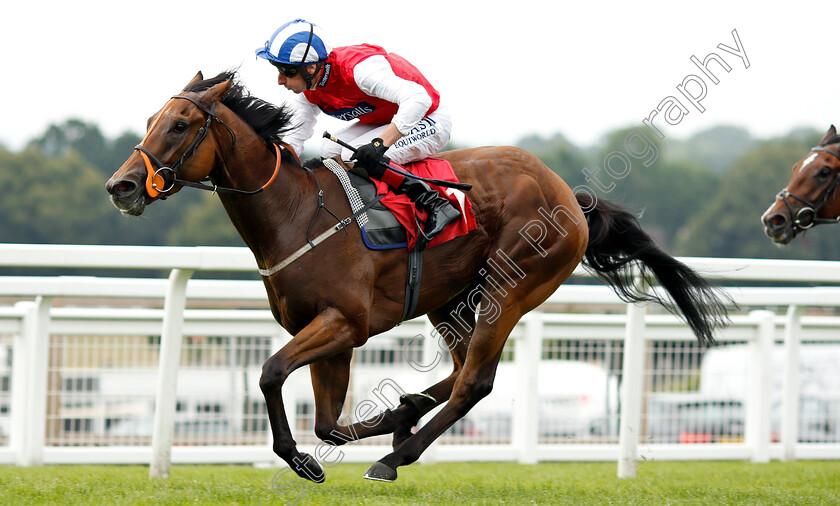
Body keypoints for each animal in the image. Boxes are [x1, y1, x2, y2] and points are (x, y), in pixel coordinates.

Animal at [105, 71, 724, 482]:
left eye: (180, 124)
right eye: (150, 121)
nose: (122, 186)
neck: (296, 214)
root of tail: (569, 195)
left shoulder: (345, 323)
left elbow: (271, 373)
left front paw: (302, 459)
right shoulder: (328, 334)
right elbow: (328, 423)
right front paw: (378, 419)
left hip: (510, 288)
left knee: (475, 382)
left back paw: (394, 457)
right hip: (451, 301)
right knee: (459, 373)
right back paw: (405, 417)